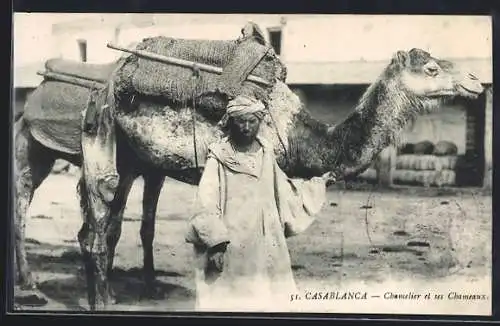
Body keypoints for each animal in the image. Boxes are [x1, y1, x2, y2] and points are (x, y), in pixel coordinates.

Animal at [14, 33, 484, 310]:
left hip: (131, 157)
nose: (477, 82)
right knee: (74, 216)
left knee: (104, 225)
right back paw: (71, 298)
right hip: (88, 139)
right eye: (432, 68)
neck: (300, 134)